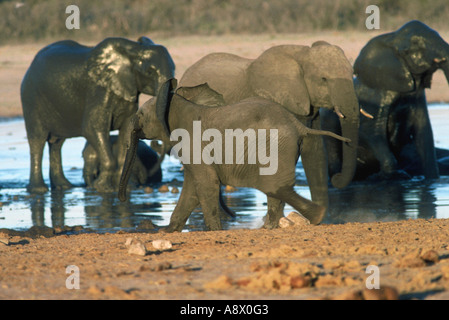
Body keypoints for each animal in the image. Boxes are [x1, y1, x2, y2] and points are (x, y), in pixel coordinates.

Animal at [21, 36, 175, 194]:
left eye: (174, 68)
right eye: (149, 72)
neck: (133, 50)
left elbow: (127, 129)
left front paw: (125, 188)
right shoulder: (98, 90)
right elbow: (92, 128)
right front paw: (102, 188)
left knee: (57, 143)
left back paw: (63, 187)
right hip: (31, 99)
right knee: (37, 141)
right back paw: (39, 190)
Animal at [117, 79, 348, 231]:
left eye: (140, 115)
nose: (122, 199)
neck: (175, 103)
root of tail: (299, 125)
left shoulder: (193, 143)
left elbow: (206, 184)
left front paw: (214, 231)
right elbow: (192, 188)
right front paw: (167, 231)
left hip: (277, 146)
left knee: (274, 185)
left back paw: (316, 216)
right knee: (276, 188)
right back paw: (271, 228)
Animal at [340, 20, 448, 180]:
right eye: (409, 49)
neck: (391, 38)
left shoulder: (417, 96)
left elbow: (424, 133)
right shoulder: (376, 95)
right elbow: (369, 131)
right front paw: (391, 176)